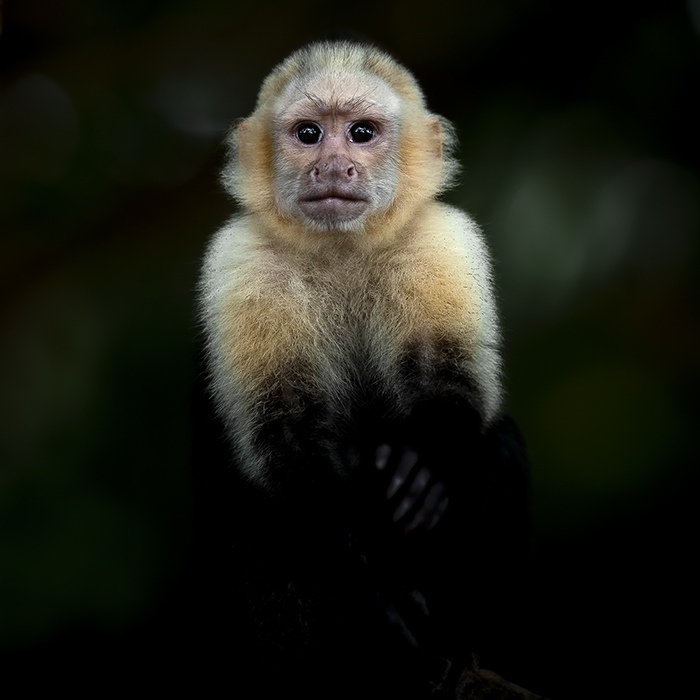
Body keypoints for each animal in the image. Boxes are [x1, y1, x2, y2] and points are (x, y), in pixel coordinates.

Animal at [196, 40, 531, 699]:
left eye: (360, 133)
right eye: (308, 134)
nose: (333, 167)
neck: (341, 249)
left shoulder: (441, 240)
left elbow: (452, 388)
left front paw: (420, 474)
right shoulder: (239, 263)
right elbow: (286, 434)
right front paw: (373, 587)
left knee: (496, 445)